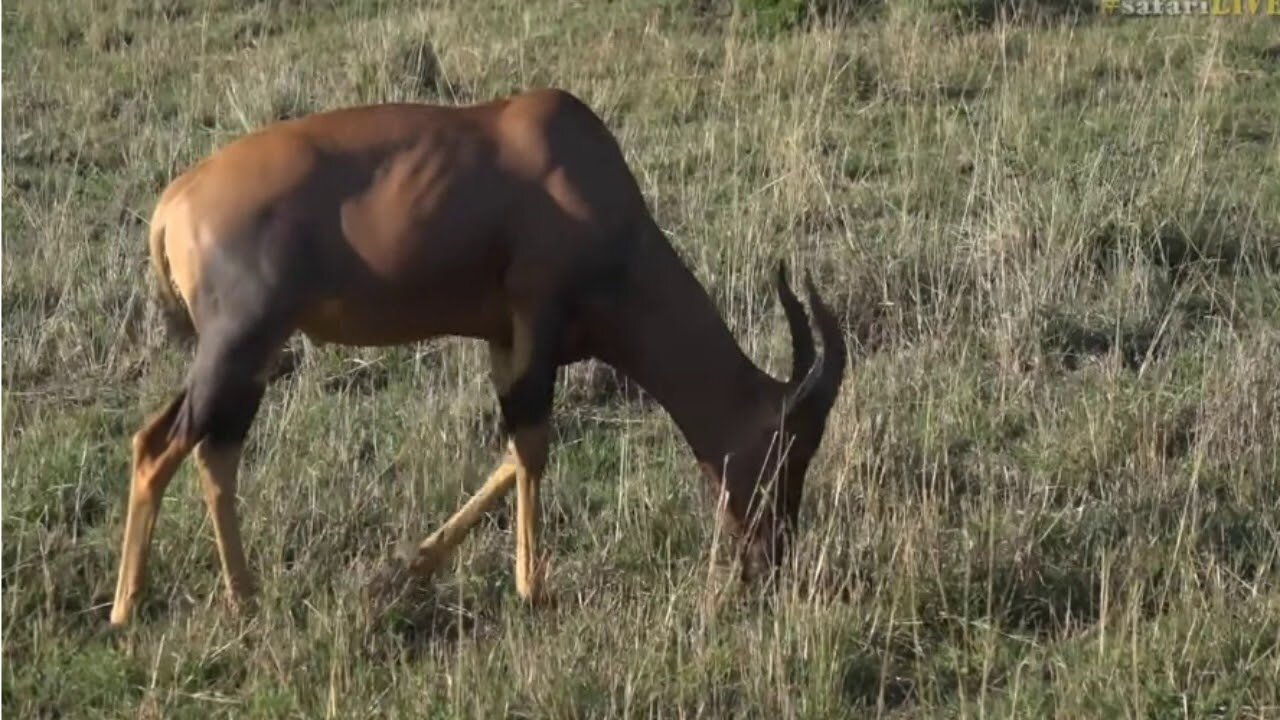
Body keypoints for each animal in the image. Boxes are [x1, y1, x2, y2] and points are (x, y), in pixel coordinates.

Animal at [112, 87, 849, 622]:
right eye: (788, 446)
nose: (769, 564)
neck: (578, 171)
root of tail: (173, 204)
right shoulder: (537, 323)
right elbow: (534, 447)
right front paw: (532, 589)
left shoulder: (503, 337)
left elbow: (510, 454)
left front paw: (406, 569)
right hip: (239, 342)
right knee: (163, 448)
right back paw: (130, 610)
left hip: (246, 355)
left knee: (205, 449)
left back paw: (244, 598)